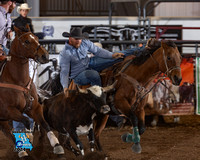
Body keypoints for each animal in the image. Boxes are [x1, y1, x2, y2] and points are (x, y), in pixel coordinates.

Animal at [0, 26, 64, 158]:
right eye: (26, 41)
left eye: (37, 38)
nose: (45, 56)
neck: (18, 80)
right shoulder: (7, 110)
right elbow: (26, 121)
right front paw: (28, 137)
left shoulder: (34, 107)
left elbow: (45, 124)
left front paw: (57, 146)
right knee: (8, 131)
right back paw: (22, 150)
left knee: (6, 131)